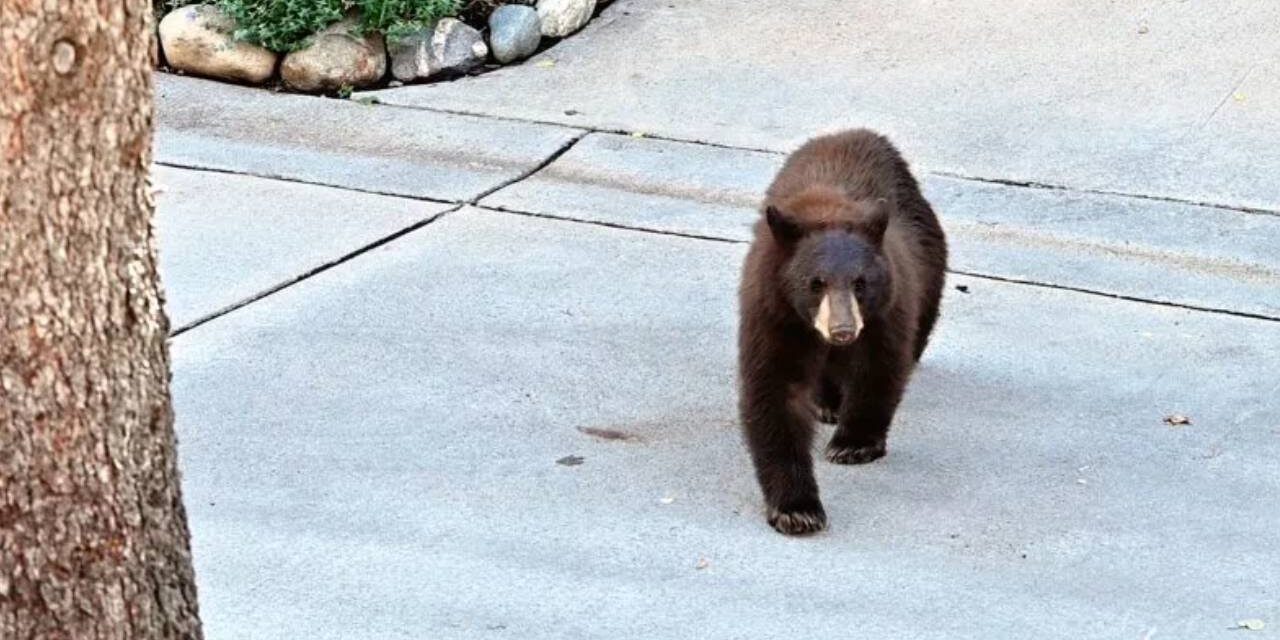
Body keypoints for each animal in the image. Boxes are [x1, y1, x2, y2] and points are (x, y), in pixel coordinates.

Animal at [737, 128, 947, 535]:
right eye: (815, 283)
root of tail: (857, 132)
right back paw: (827, 403)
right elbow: (774, 391)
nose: (843, 330)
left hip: (930, 266)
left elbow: (879, 369)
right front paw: (797, 508)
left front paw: (853, 444)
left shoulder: (887, 308)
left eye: (860, 283)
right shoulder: (773, 314)